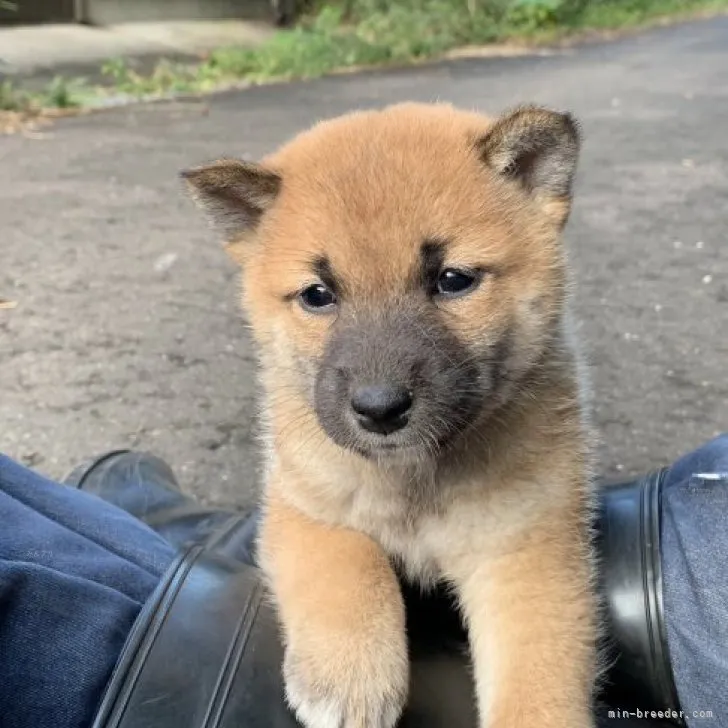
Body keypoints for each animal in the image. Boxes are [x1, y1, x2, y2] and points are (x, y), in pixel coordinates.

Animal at [185, 102, 600, 728]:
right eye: (317, 294)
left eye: (453, 279)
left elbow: (539, 679)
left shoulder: (528, 550)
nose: (379, 408)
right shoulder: (302, 506)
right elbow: (351, 561)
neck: (416, 482)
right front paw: (348, 677)